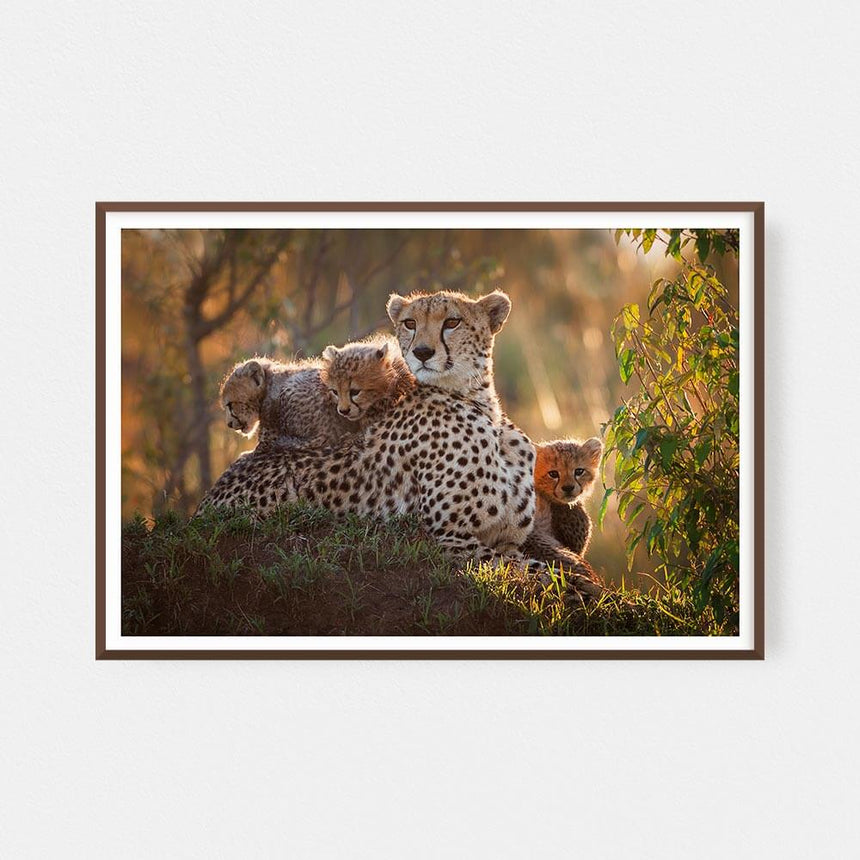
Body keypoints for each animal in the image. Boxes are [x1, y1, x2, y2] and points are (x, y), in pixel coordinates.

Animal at [197, 289, 540, 565]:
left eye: (452, 322)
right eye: (410, 323)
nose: (422, 352)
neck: (481, 405)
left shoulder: (505, 542)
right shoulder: (450, 538)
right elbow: (539, 573)